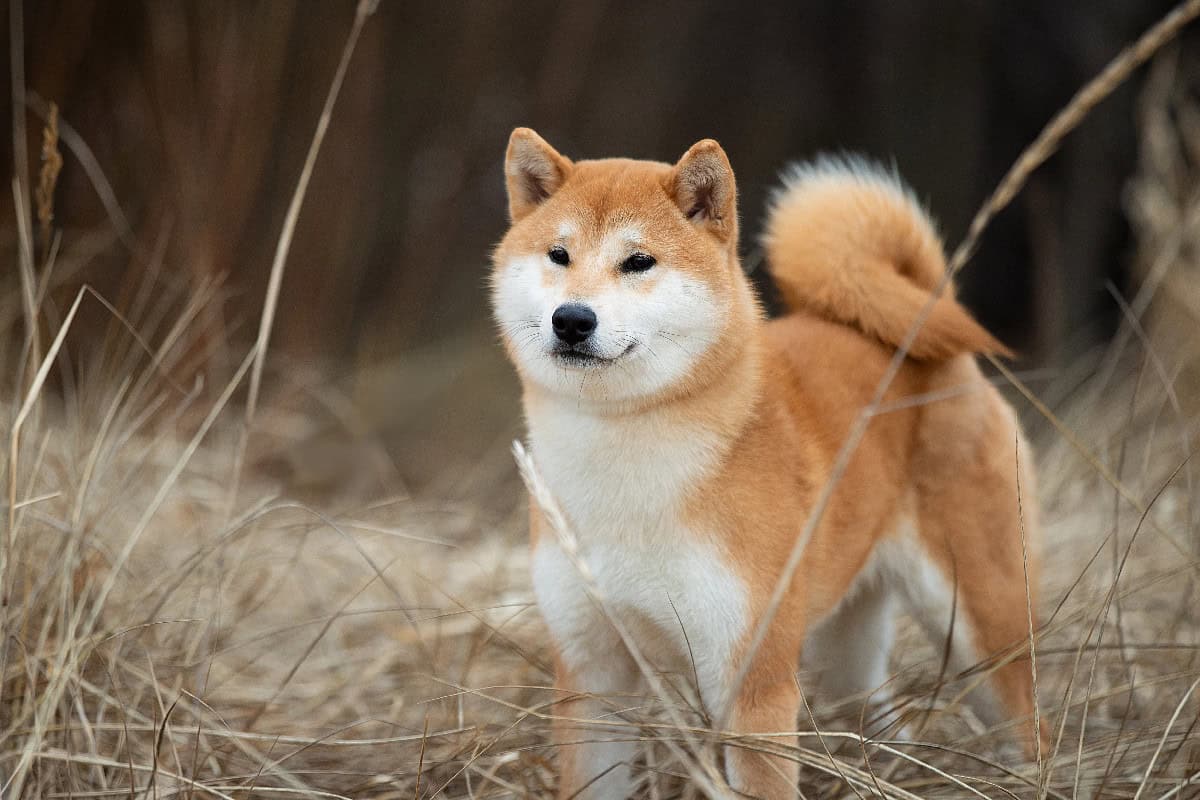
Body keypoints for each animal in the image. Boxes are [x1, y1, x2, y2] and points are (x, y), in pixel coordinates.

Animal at [491, 127, 1042, 799]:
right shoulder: (591, 677)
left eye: (639, 261)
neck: (623, 459)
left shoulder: (752, 681)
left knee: (1025, 720)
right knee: (887, 720)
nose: (572, 319)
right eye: (558, 255)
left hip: (980, 628)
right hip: (843, 658)